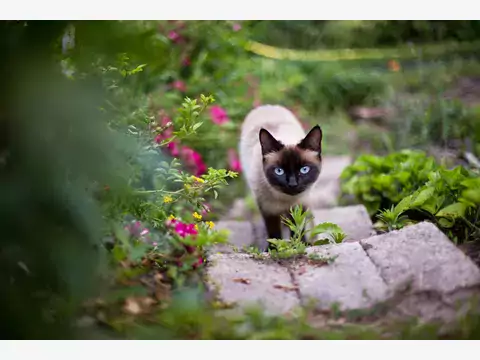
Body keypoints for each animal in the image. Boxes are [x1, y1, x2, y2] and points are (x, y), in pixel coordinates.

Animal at [239, 105, 322, 249]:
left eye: (304, 169)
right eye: (279, 171)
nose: (293, 184)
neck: (286, 200)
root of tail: (267, 106)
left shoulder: (301, 203)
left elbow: (297, 227)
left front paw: (299, 245)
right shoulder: (268, 208)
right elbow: (274, 233)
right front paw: (275, 249)